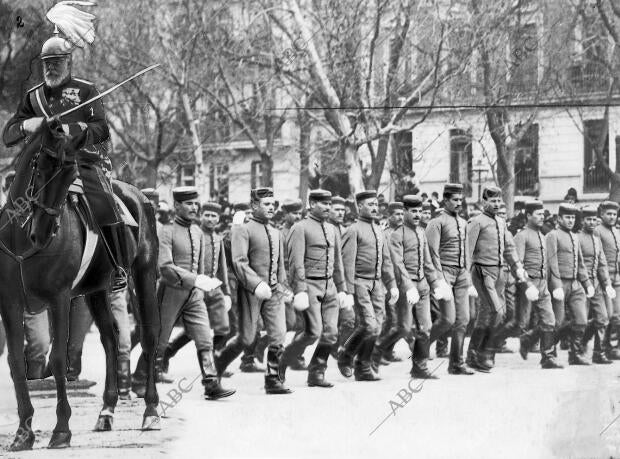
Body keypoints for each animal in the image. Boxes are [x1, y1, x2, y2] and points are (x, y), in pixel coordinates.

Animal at [0, 119, 162, 452]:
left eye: (71, 175)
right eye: (41, 166)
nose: (42, 232)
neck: (22, 241)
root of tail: (138, 195)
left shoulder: (59, 298)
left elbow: (59, 359)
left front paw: (61, 430)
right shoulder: (9, 302)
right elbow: (15, 362)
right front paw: (23, 432)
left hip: (144, 275)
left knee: (150, 337)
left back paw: (151, 411)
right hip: (96, 292)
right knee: (111, 340)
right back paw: (106, 411)